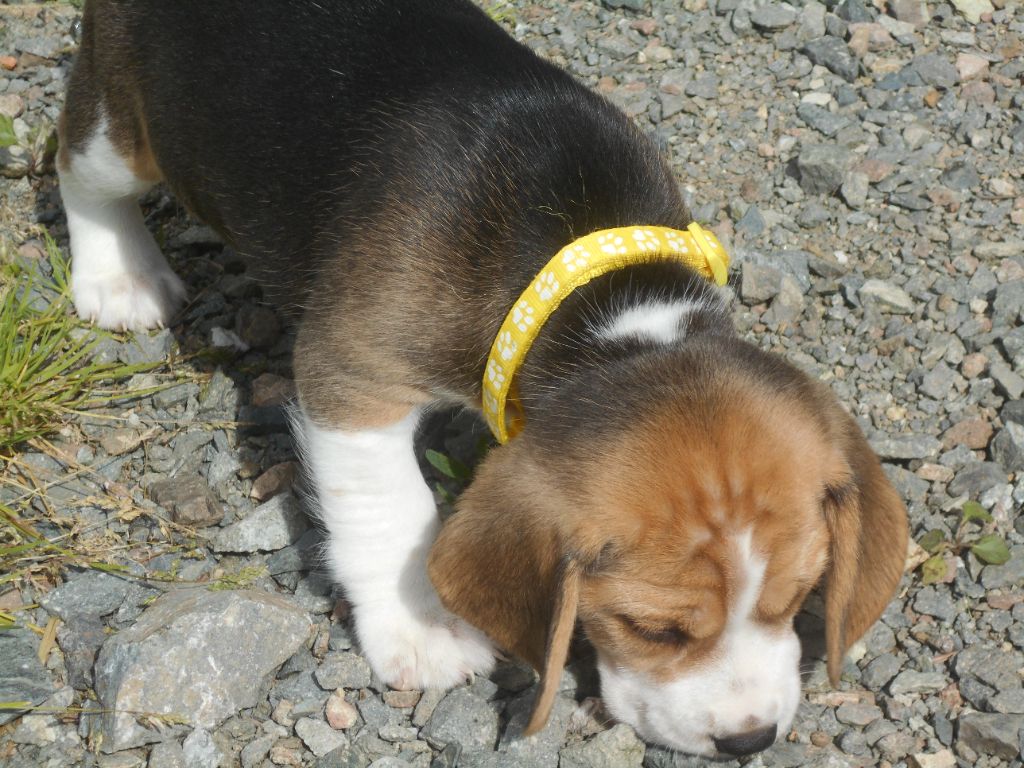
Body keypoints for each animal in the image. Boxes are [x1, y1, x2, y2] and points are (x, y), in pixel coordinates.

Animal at [57, 0, 908, 757]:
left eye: (795, 600)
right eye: (652, 629)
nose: (749, 741)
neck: (603, 296)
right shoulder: (351, 376)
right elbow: (390, 509)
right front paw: (421, 625)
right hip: (119, 124)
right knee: (80, 171)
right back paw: (119, 277)